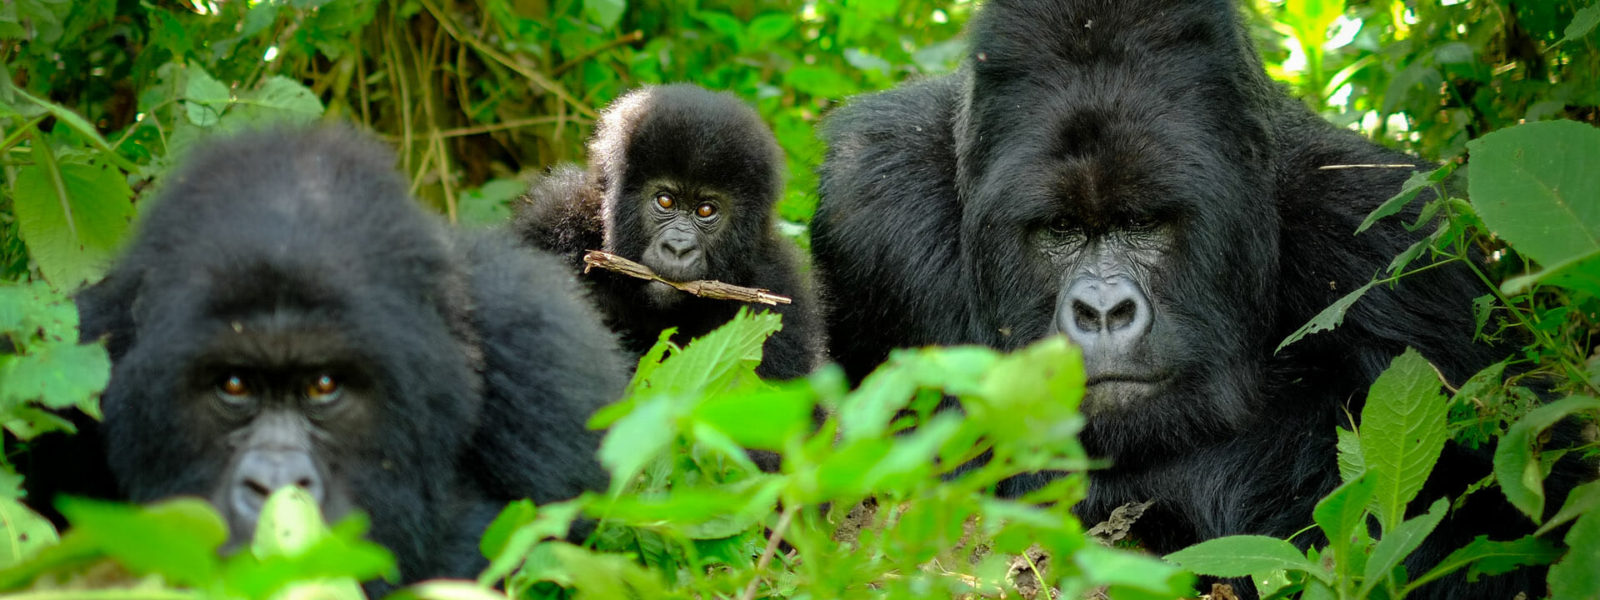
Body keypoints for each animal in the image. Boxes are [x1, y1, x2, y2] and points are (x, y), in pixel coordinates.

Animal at [819, 1, 1568, 600]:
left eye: (1144, 222)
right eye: (1060, 230)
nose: (1101, 313)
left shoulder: (1394, 240)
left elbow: (1493, 514)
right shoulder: (873, 202)